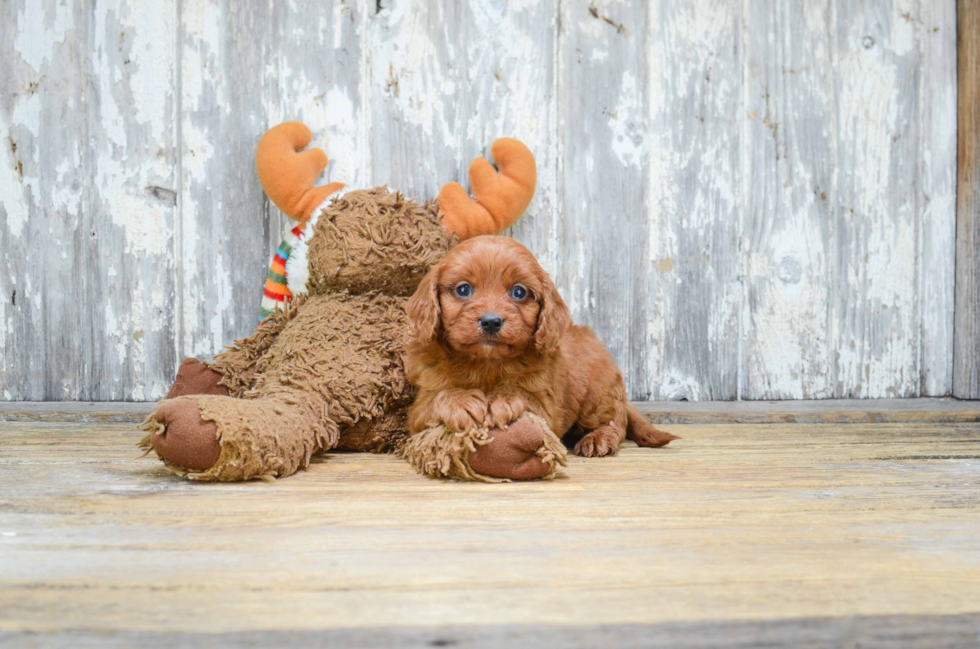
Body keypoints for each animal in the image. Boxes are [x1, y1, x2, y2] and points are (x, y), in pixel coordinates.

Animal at [402, 234, 676, 456]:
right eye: (463, 289)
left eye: (519, 292)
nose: (491, 321)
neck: (487, 363)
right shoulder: (419, 410)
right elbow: (436, 399)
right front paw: (461, 401)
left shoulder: (547, 407)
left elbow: (526, 396)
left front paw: (505, 398)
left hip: (599, 394)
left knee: (615, 422)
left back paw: (598, 439)